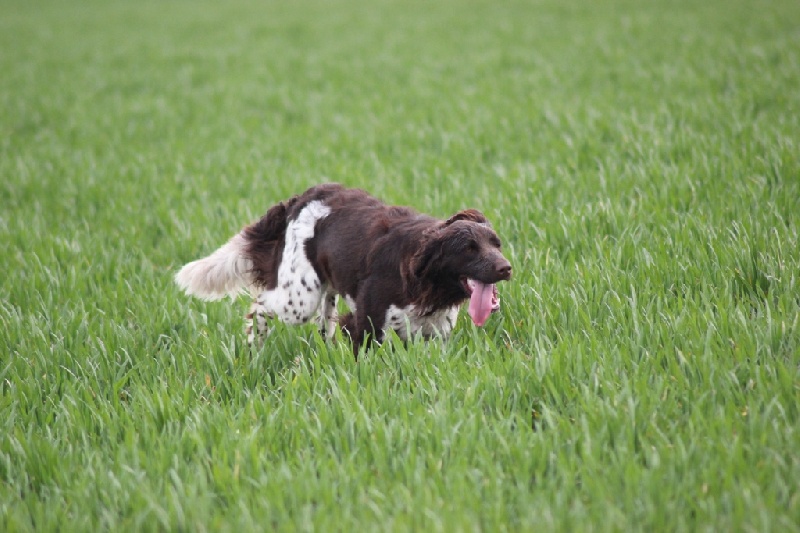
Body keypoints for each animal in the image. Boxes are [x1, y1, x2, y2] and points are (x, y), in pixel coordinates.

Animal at [175, 181, 512, 356]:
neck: (427, 282)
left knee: (324, 328)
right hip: (299, 299)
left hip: (326, 292)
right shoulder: (366, 324)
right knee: (260, 304)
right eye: (469, 249)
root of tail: (303, 196)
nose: (506, 268)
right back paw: (254, 347)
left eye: (496, 244)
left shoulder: (434, 335)